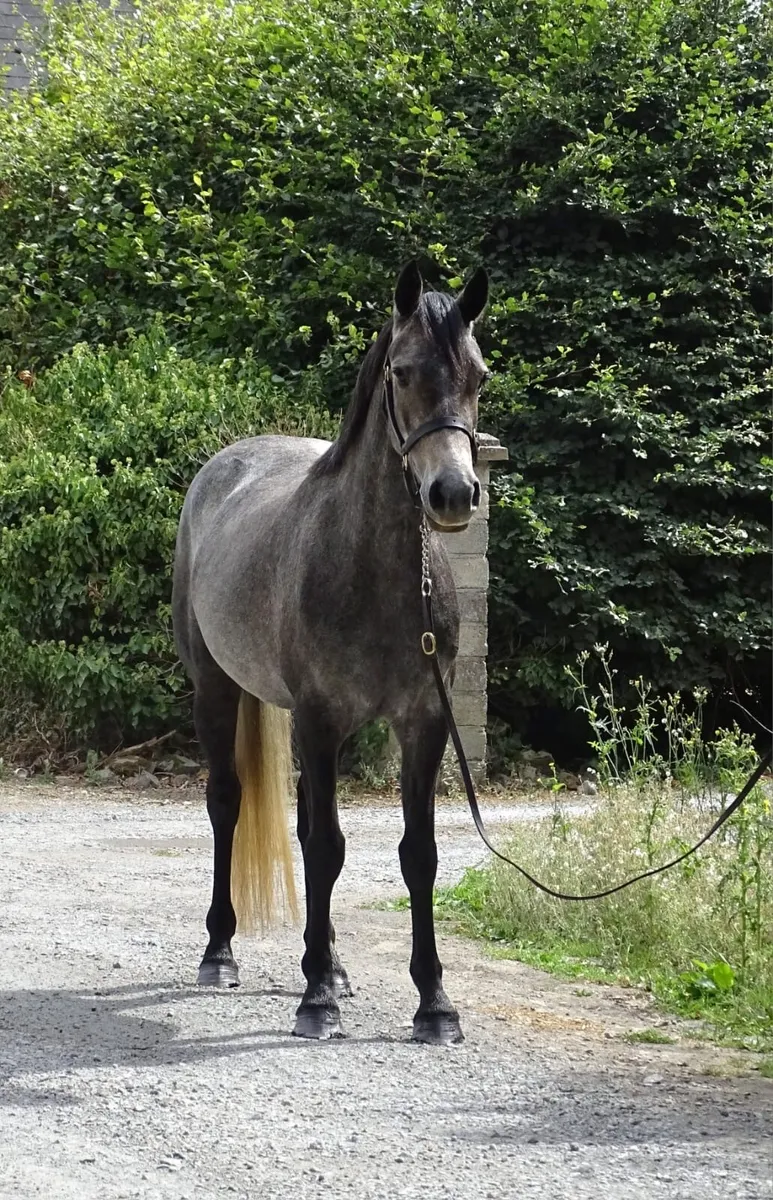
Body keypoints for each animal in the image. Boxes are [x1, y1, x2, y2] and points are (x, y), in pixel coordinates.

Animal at [172, 261, 490, 1044]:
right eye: (402, 373)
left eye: (479, 376)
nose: (452, 493)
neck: (376, 574)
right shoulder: (318, 720)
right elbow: (325, 849)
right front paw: (316, 999)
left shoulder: (421, 724)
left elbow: (416, 853)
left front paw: (433, 1003)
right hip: (216, 690)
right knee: (226, 804)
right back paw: (220, 953)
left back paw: (335, 964)